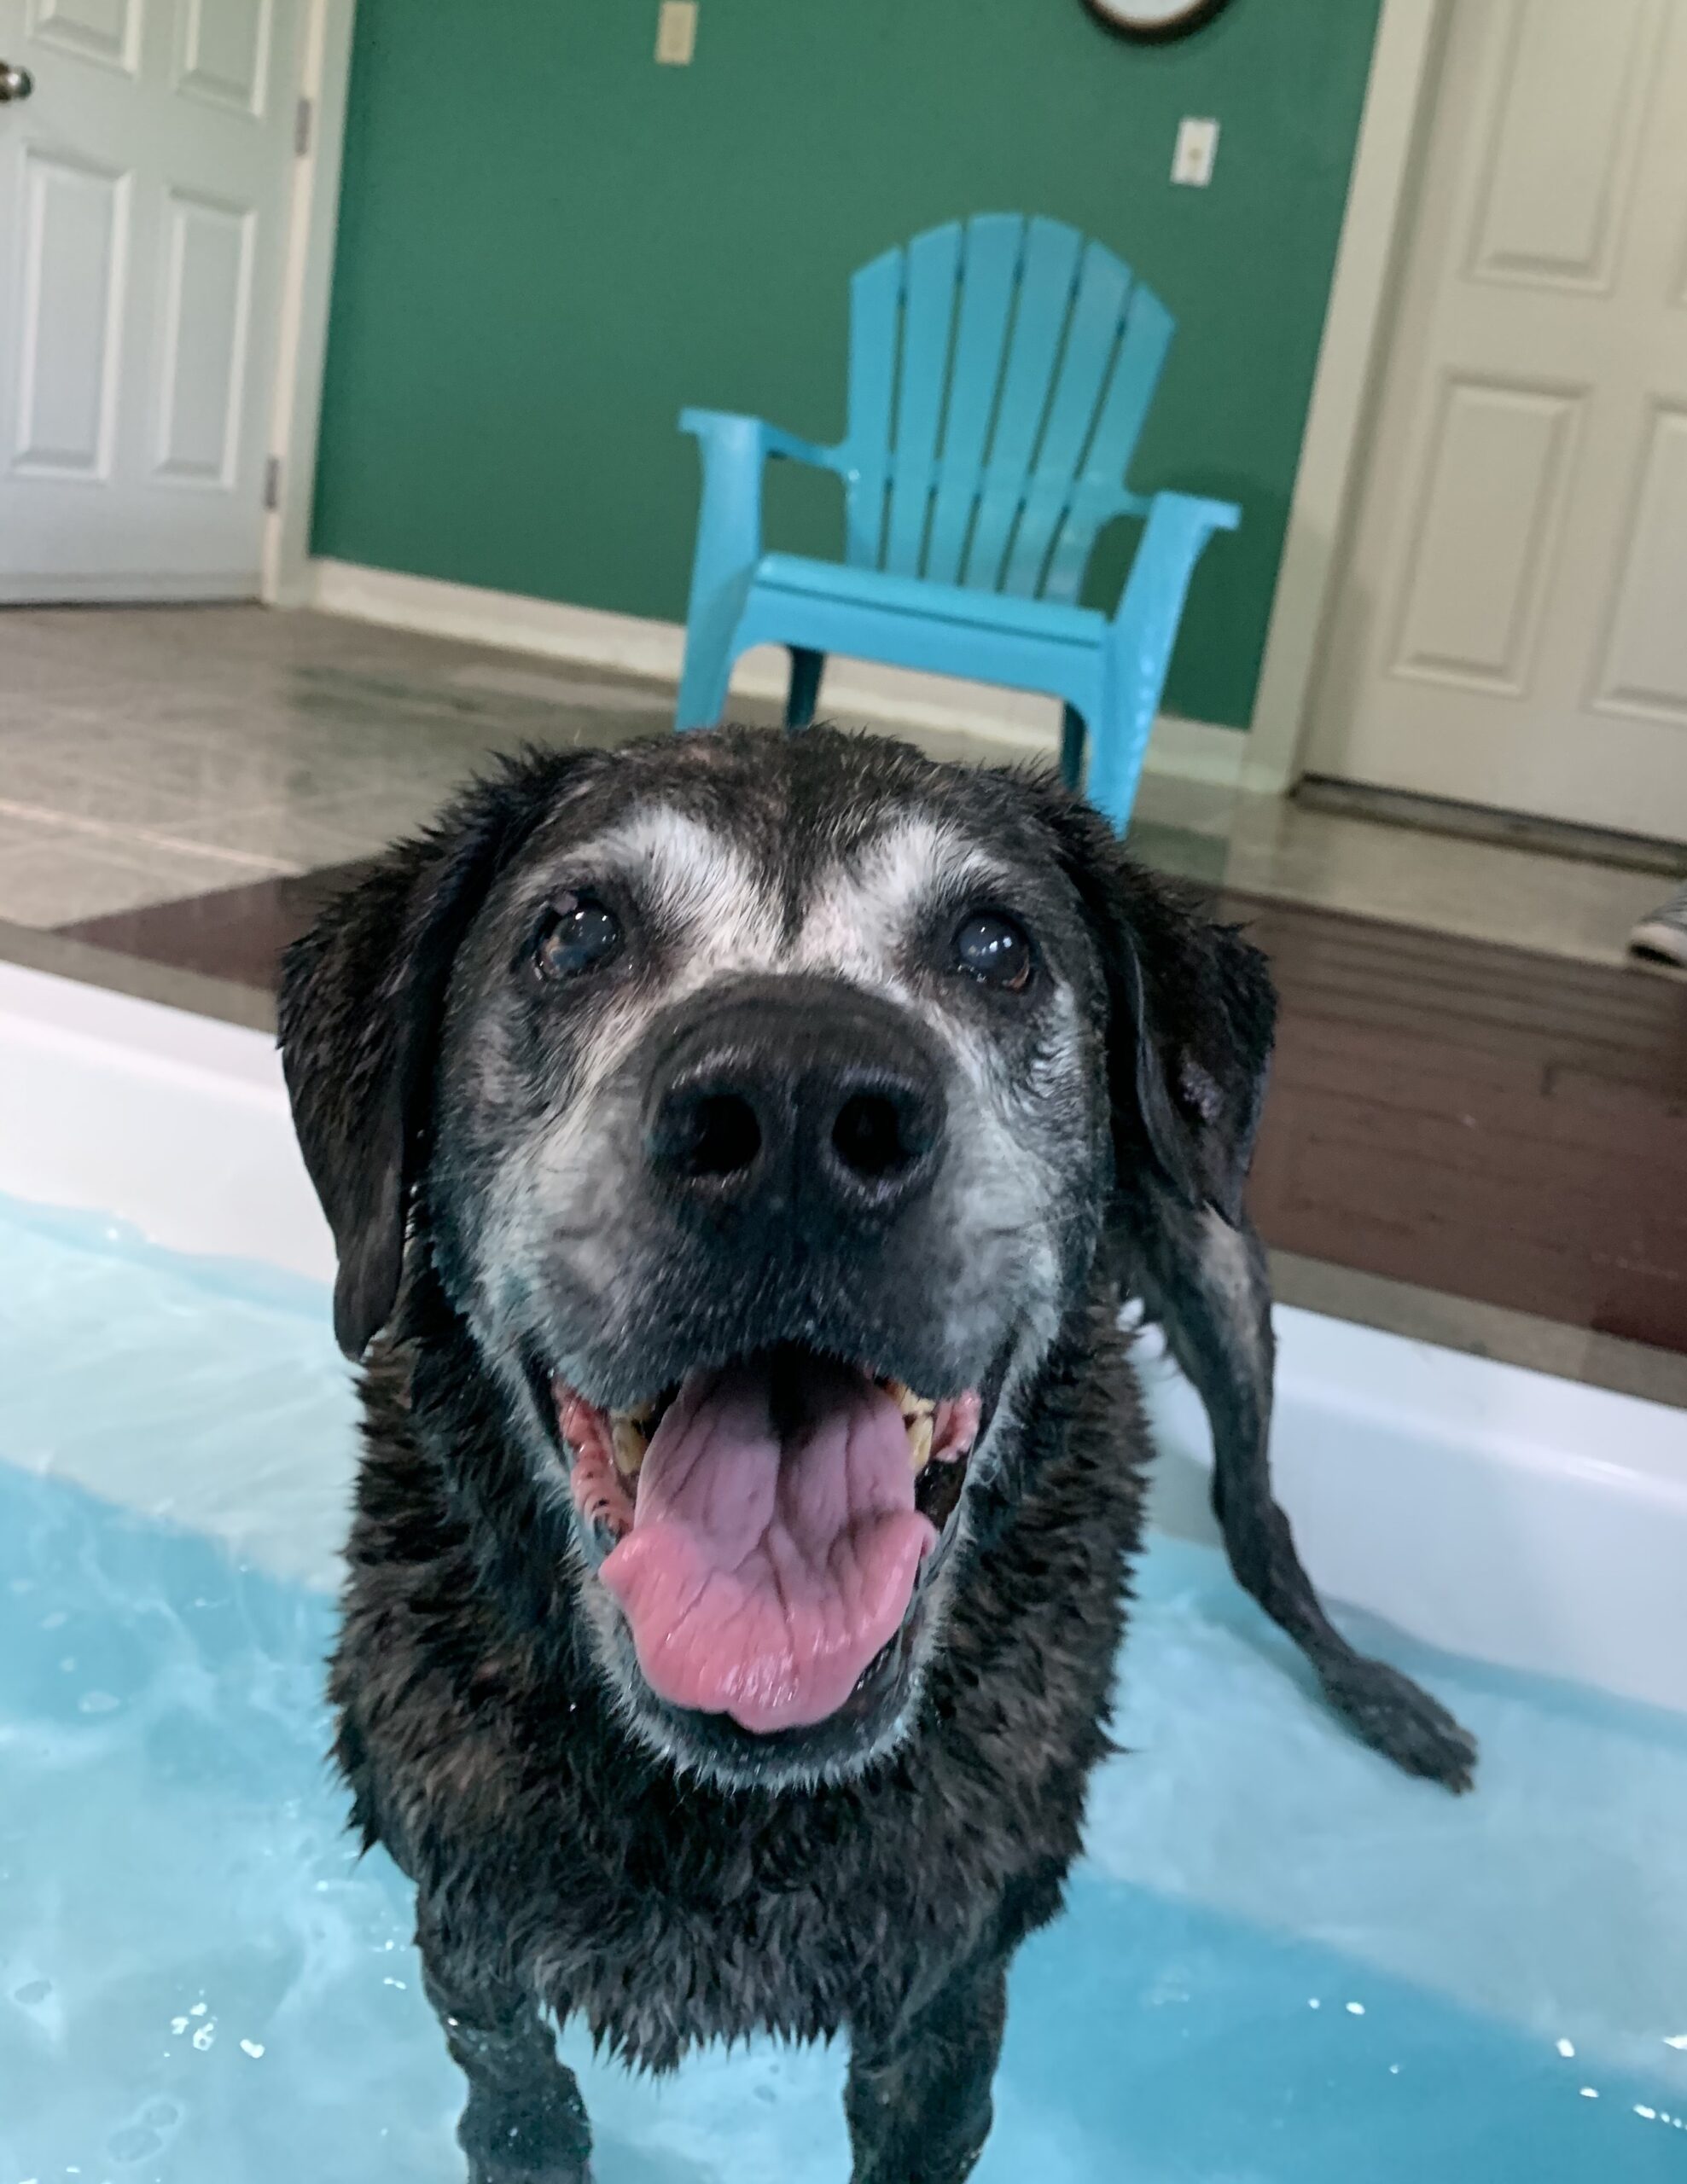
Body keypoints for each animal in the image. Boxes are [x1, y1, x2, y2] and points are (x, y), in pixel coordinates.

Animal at [279, 729, 1477, 2184]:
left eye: (997, 947)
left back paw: (1382, 1698)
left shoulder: (950, 1997)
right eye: (572, 932)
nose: (794, 1102)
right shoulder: (463, 1916)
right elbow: (516, 2096)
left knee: (1260, 1523)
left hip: (1217, 1259)